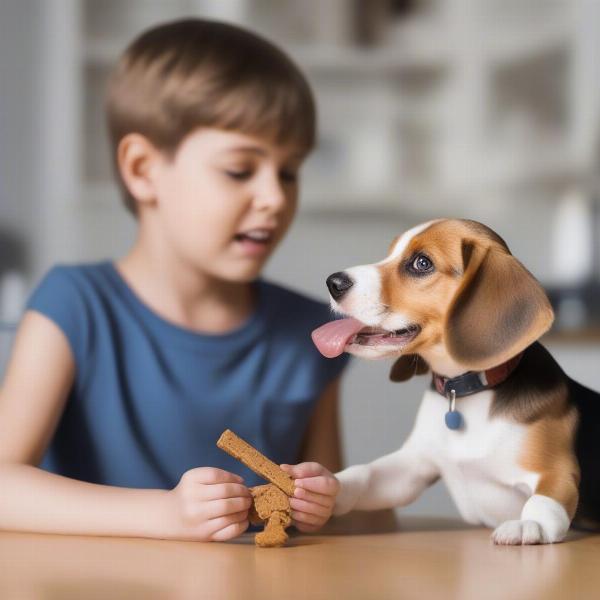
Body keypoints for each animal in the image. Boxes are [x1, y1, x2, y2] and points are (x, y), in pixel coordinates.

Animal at [314, 219, 600, 544]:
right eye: (390, 253)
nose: (333, 282)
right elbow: (367, 473)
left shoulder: (556, 471)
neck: (465, 392)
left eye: (421, 263)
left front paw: (530, 524)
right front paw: (323, 487)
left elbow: (545, 501)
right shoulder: (413, 466)